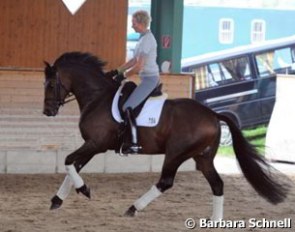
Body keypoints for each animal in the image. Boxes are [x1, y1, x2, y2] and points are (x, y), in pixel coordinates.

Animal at [42, 51, 290, 220]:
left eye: (51, 84)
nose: (47, 111)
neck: (98, 97)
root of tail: (212, 114)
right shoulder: (92, 145)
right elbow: (74, 166)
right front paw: (57, 200)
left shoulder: (96, 143)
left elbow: (69, 162)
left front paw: (83, 189)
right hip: (203, 157)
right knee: (217, 184)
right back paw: (215, 220)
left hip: (175, 153)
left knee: (166, 181)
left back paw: (133, 208)